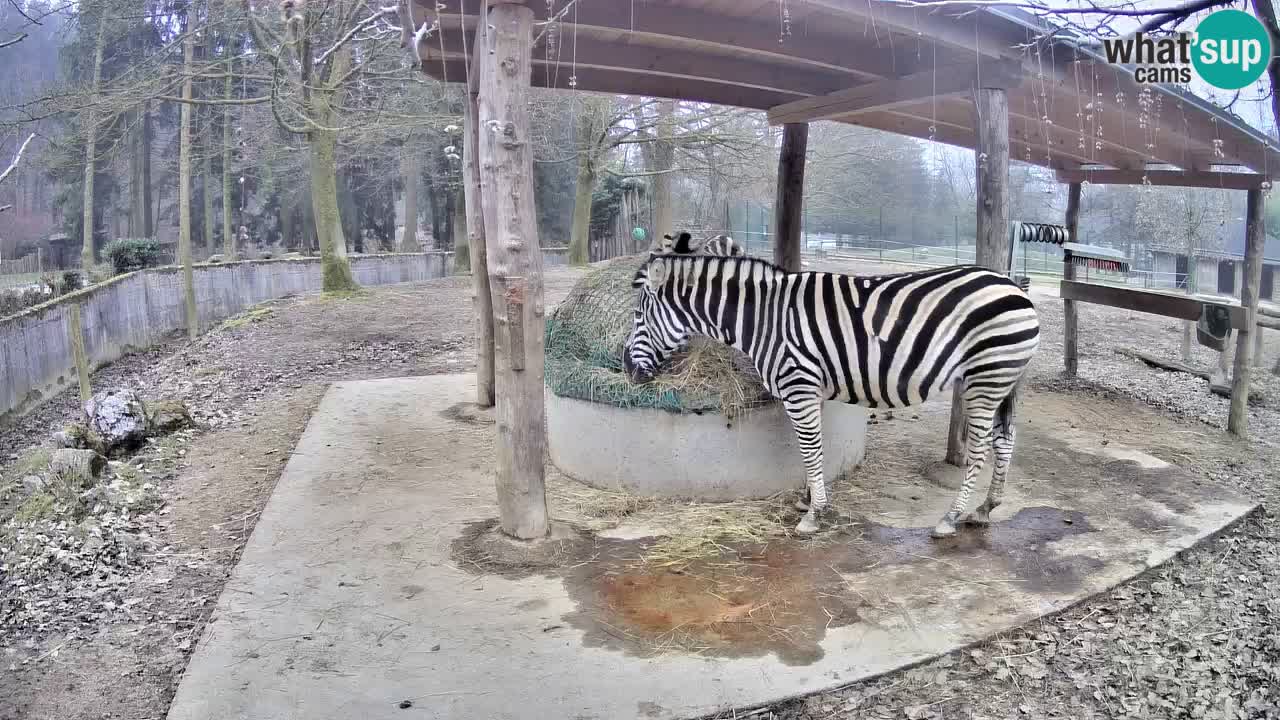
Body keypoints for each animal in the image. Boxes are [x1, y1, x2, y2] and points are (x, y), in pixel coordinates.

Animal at [624, 254, 1044, 535]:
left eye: (639, 317)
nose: (627, 369)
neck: (764, 320)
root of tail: (1013, 286)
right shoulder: (812, 390)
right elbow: (814, 448)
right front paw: (810, 499)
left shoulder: (799, 385)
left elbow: (810, 448)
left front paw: (814, 513)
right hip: (1004, 380)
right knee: (1005, 439)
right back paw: (986, 509)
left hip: (985, 377)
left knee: (980, 447)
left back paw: (951, 517)